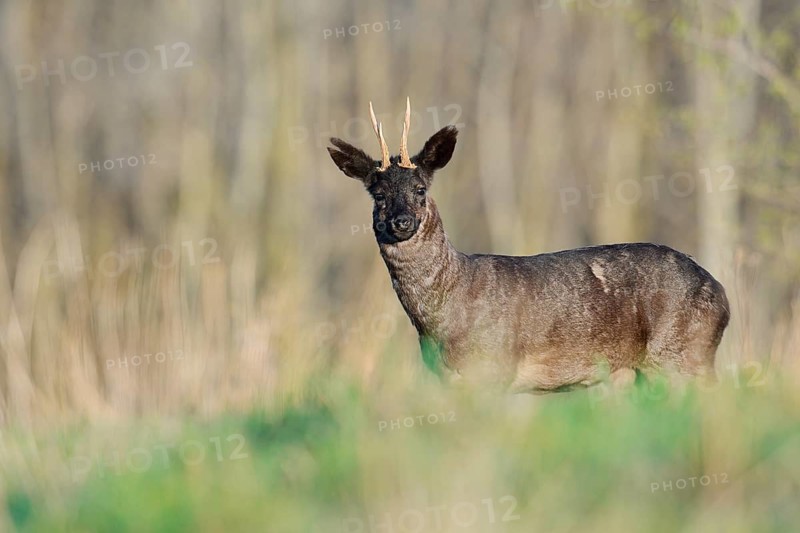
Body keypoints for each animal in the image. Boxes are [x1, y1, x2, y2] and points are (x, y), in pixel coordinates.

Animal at [327, 98, 730, 393]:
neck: (445, 314)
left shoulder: (493, 367)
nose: (401, 222)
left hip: (683, 353)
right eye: (378, 194)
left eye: (420, 189)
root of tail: (722, 295)